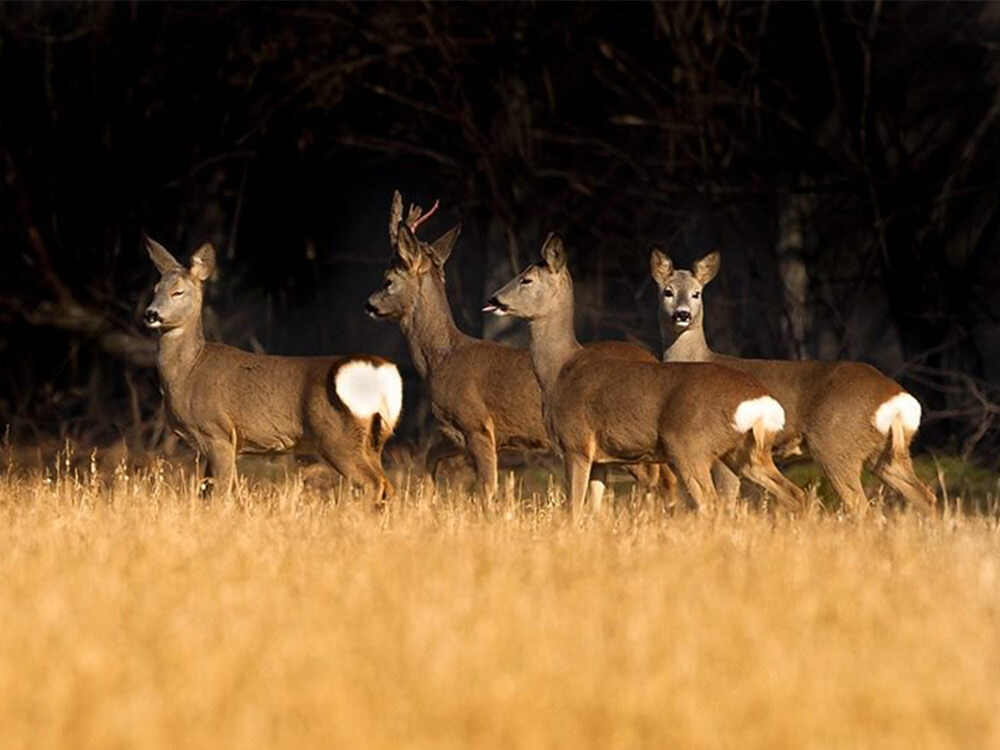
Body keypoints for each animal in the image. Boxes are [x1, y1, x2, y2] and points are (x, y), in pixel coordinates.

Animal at [145, 238, 402, 502]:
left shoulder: (217, 431)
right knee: (387, 485)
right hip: (374, 439)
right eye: (156, 289)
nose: (151, 314)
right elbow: (208, 491)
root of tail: (381, 372)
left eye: (178, 291)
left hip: (338, 437)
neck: (188, 371)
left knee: (373, 483)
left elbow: (221, 491)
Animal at [368, 191, 680, 508]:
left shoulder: (477, 423)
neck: (440, 360)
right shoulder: (456, 433)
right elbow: (431, 457)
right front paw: (425, 502)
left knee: (662, 479)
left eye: (388, 280)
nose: (369, 304)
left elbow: (487, 488)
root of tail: (653, 357)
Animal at [482, 235, 804, 516]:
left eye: (526, 279)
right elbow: (593, 510)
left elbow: (572, 509)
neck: (559, 371)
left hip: (690, 446)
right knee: (795, 493)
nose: (494, 299)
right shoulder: (602, 458)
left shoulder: (576, 444)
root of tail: (759, 402)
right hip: (748, 454)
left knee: (711, 504)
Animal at [648, 247, 936, 516]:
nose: (682, 315)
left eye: (696, 293)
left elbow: (726, 500)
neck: (698, 358)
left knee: (862, 505)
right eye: (668, 292)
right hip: (886, 454)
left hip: (837, 444)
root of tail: (897, 398)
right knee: (925, 495)